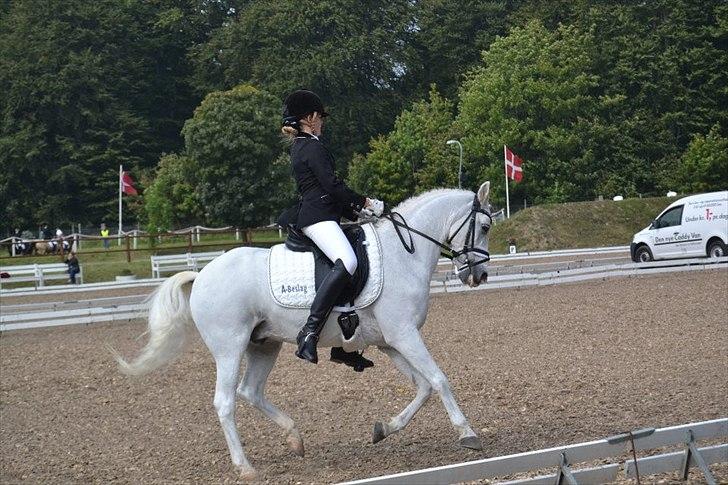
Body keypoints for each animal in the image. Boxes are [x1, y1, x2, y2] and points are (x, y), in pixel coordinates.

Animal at [116, 183, 493, 479]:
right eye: (487, 225)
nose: (479, 276)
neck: (404, 255)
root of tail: (201, 274)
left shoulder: (391, 341)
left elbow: (423, 386)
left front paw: (384, 429)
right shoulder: (404, 335)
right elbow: (440, 379)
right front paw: (467, 433)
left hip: (263, 344)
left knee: (250, 391)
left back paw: (294, 438)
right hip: (229, 346)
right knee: (225, 401)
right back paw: (245, 467)